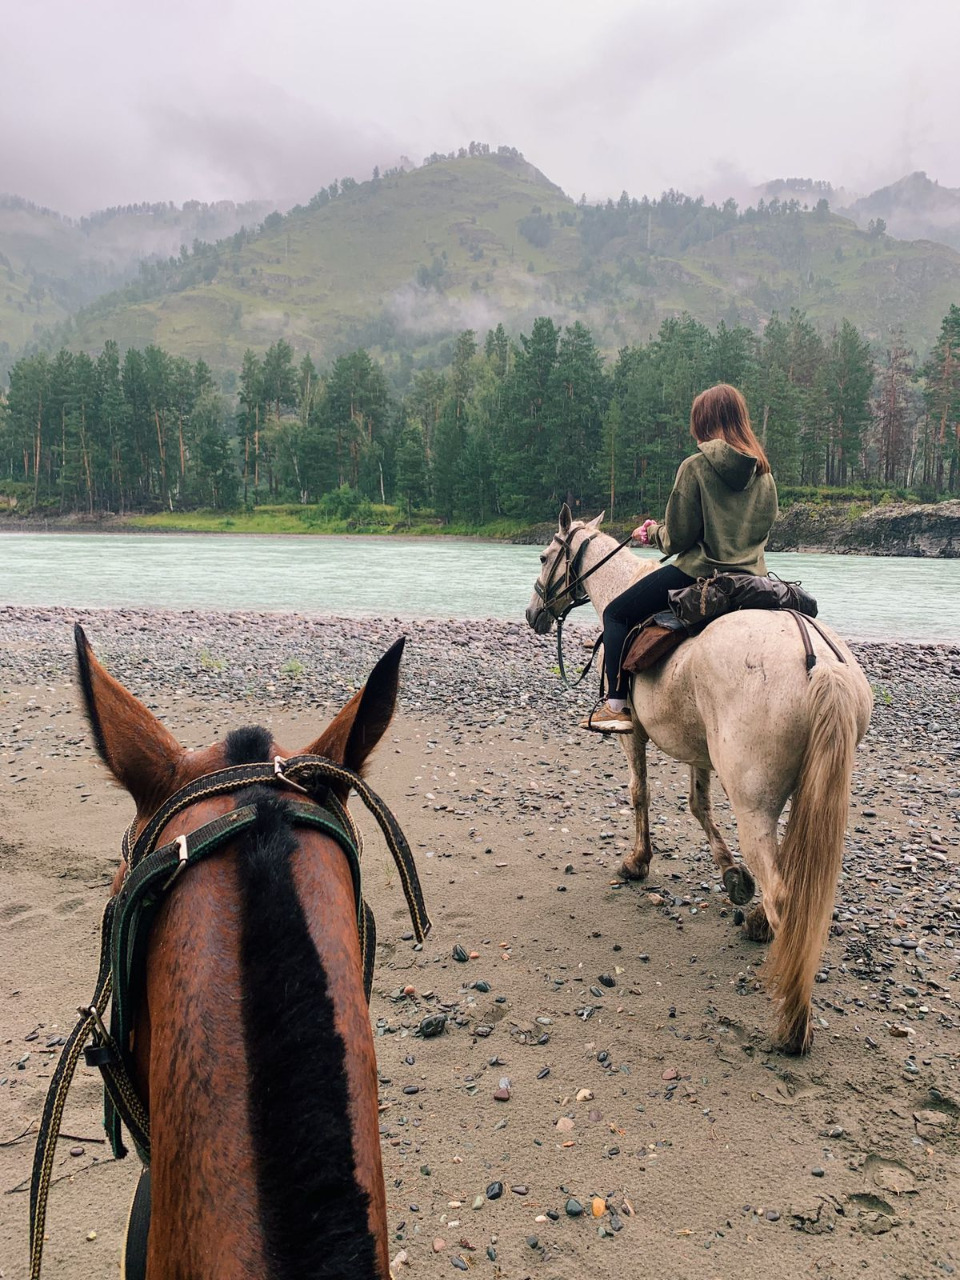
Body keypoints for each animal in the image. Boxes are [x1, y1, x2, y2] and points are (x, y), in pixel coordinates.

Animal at [529, 504, 875, 1054]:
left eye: (545, 556)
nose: (533, 614)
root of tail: (819, 663)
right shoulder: (700, 753)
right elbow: (698, 806)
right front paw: (732, 875)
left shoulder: (633, 735)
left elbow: (640, 794)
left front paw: (637, 862)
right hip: (805, 793)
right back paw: (757, 923)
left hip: (754, 804)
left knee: (784, 895)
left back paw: (792, 1021)